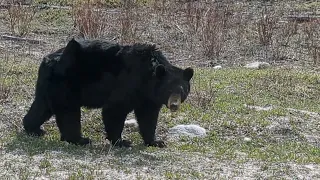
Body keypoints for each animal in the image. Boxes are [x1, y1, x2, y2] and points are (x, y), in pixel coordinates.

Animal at [22, 37, 194, 148]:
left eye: (183, 91)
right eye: (169, 89)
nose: (174, 105)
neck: (148, 78)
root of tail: (48, 60)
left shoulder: (148, 97)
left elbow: (148, 117)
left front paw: (156, 141)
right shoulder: (129, 83)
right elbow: (115, 109)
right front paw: (121, 141)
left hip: (50, 85)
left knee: (42, 106)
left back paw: (34, 129)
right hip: (67, 83)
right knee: (68, 112)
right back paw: (80, 139)